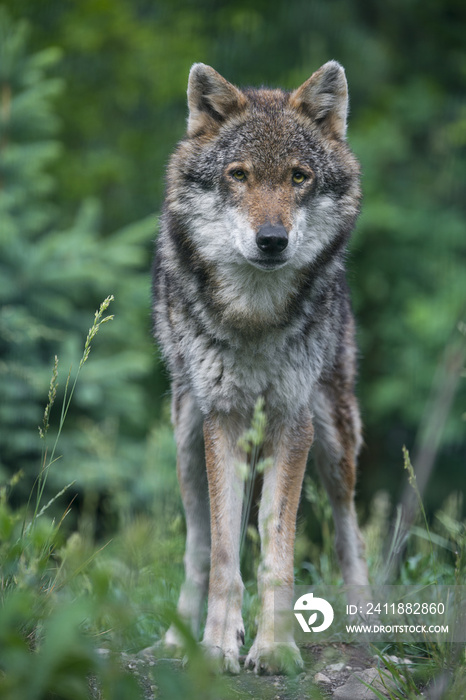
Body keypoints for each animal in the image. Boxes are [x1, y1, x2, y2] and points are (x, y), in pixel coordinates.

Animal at [152, 63, 368, 676]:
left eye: (298, 177)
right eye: (239, 175)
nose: (272, 240)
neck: (254, 315)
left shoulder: (293, 423)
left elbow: (277, 551)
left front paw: (274, 648)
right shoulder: (222, 421)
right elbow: (226, 557)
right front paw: (216, 647)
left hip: (336, 439)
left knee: (351, 533)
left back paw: (371, 625)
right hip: (186, 438)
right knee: (198, 546)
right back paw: (176, 640)